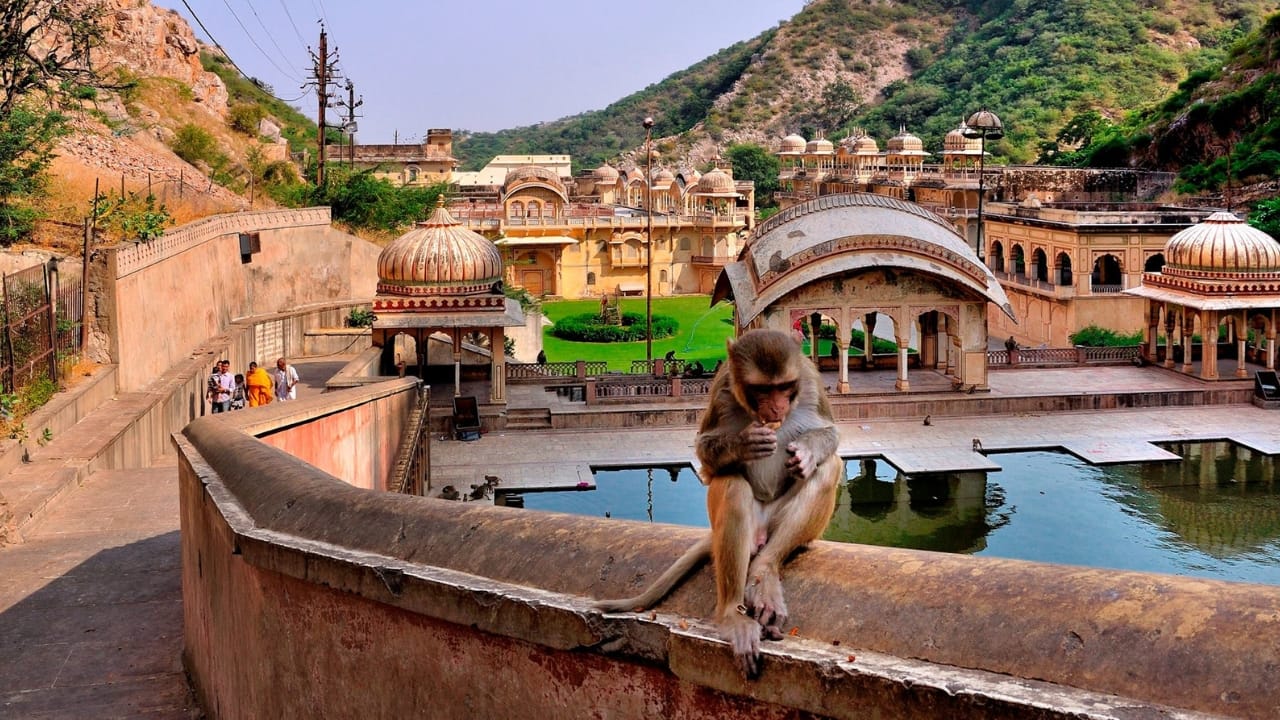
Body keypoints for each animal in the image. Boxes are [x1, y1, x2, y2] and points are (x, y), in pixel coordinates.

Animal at [595, 328, 841, 678]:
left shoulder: (810, 380)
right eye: (762, 390)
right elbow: (705, 448)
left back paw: (764, 571)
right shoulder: (723, 387)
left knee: (828, 468)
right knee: (732, 485)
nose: (776, 407)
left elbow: (830, 433)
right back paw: (732, 615)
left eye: (784, 387)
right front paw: (744, 443)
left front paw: (806, 451)